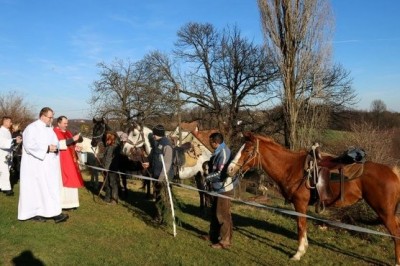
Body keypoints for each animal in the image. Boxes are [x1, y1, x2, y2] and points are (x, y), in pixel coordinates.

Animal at [227, 132, 400, 264]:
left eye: (247, 150)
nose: (230, 169)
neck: (291, 168)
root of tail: (393, 172)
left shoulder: (300, 204)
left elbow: (301, 226)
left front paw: (298, 253)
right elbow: (303, 226)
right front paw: (304, 248)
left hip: (384, 212)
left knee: (396, 233)